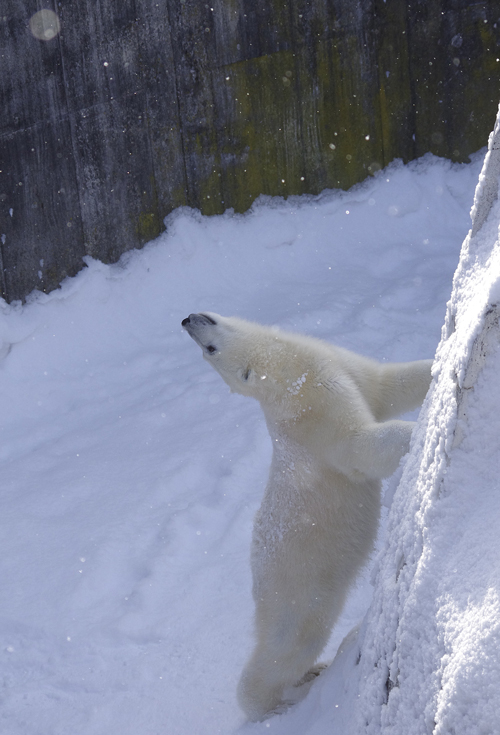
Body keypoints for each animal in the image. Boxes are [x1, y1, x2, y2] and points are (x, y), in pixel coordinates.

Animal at [182, 314, 432, 720]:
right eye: (210, 350)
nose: (187, 320)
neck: (288, 369)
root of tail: (257, 587)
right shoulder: (313, 411)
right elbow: (358, 444)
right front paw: (417, 432)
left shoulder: (337, 366)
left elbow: (389, 383)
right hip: (295, 591)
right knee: (285, 649)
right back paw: (275, 702)